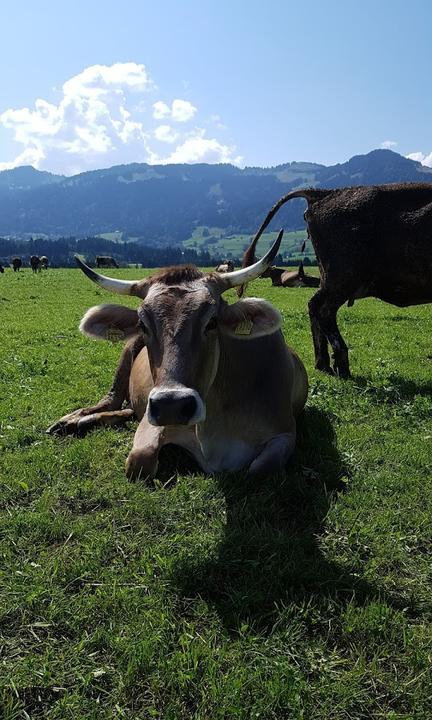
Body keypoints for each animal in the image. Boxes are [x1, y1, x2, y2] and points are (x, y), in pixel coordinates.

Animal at [49, 231, 308, 480]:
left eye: (212, 321)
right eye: (142, 324)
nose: (171, 405)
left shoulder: (285, 432)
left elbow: (260, 470)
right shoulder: (152, 423)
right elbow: (139, 462)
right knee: (110, 400)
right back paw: (71, 420)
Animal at [241, 183, 432, 380]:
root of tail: (325, 193)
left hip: (330, 278)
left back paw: (323, 364)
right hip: (343, 278)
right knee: (320, 308)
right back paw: (341, 366)